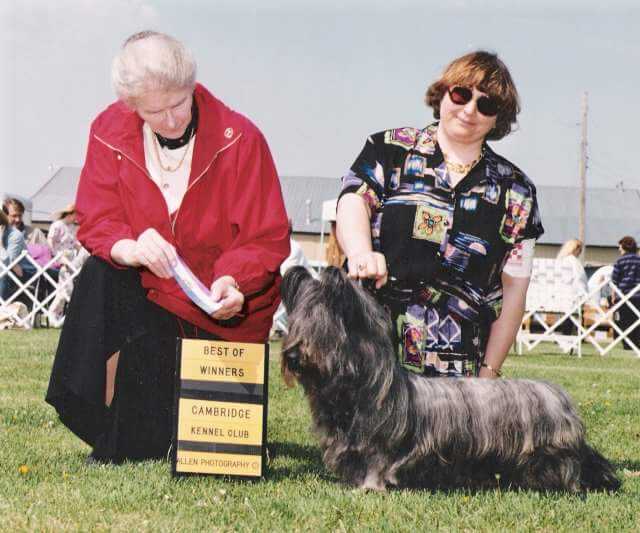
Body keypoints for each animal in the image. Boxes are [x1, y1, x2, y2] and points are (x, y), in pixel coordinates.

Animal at [280, 266, 620, 490]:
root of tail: (562, 401)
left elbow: (375, 466)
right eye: (295, 326)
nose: (292, 357)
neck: (361, 387)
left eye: (320, 330)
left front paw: (368, 488)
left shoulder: (378, 448)